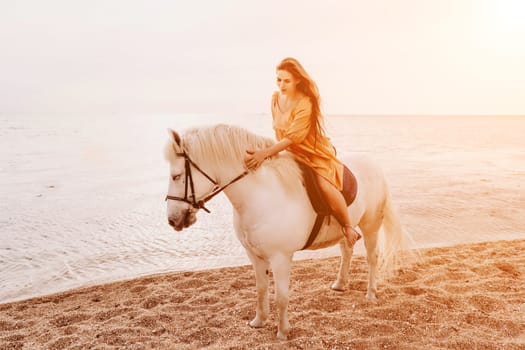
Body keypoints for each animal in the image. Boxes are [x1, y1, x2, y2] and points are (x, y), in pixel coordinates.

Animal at [164, 123, 406, 340]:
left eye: (176, 176)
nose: (172, 220)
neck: (260, 195)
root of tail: (373, 164)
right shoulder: (254, 256)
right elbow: (261, 289)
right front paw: (259, 321)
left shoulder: (281, 258)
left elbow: (281, 296)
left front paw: (282, 332)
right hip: (346, 228)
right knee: (347, 250)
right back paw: (340, 284)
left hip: (371, 225)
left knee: (372, 258)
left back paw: (371, 293)